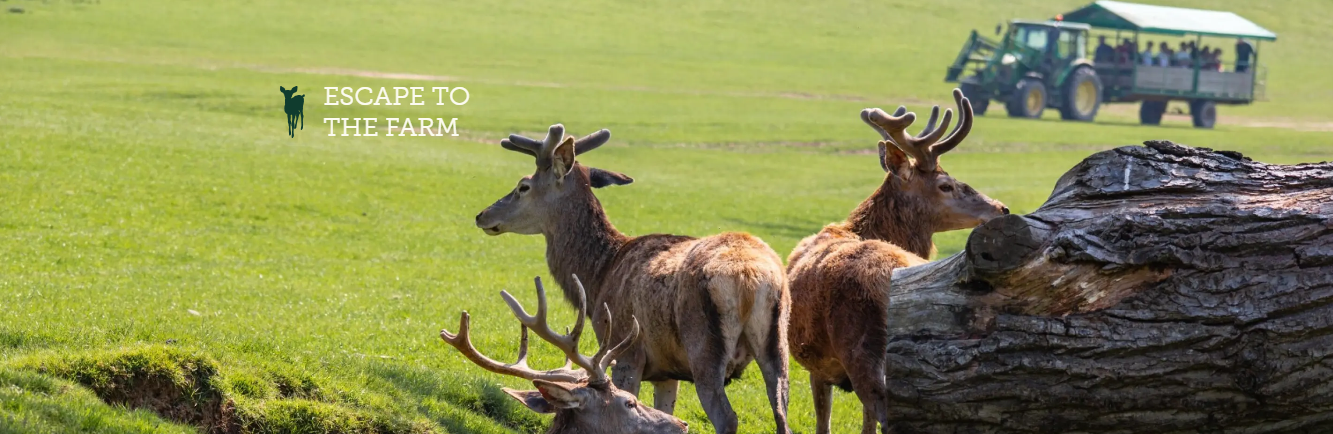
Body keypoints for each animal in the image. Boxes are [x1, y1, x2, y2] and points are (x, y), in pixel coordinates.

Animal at [477, 123, 789, 431]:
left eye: (523, 186)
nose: (482, 215)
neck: (600, 275)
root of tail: (750, 276)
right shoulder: (667, 369)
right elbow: (662, 408)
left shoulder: (625, 348)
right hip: (778, 347)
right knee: (780, 411)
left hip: (704, 349)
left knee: (727, 417)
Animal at [783, 89, 1002, 434]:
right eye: (946, 185)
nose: (1002, 208)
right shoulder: (819, 364)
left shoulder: (817, 361)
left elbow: (828, 422)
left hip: (863, 352)